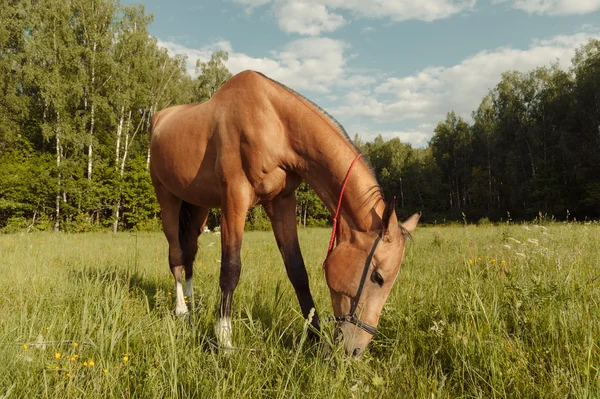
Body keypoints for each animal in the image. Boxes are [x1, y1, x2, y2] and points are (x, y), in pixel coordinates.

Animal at [149, 69, 420, 356]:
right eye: (378, 277)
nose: (355, 350)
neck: (274, 123)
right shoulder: (235, 200)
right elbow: (231, 269)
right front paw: (225, 340)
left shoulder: (282, 203)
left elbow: (297, 271)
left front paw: (315, 337)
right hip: (167, 199)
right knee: (177, 255)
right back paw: (181, 310)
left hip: (198, 207)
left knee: (189, 251)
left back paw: (192, 304)